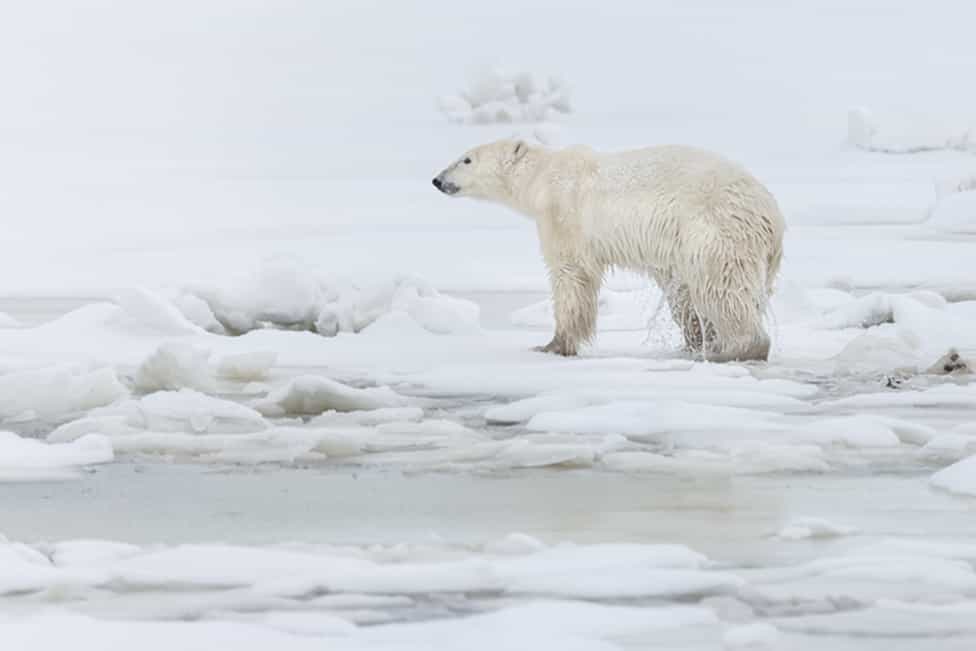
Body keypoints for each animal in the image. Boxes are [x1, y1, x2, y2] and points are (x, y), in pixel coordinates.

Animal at [432, 140, 784, 362]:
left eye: (466, 159)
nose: (437, 179)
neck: (544, 176)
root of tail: (772, 215)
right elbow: (679, 290)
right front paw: (696, 337)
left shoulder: (565, 214)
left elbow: (571, 276)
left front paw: (552, 345)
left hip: (716, 230)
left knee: (722, 288)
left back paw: (735, 348)